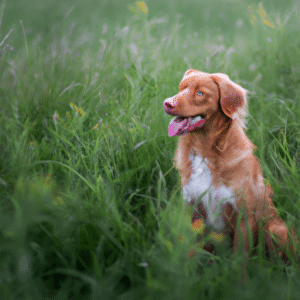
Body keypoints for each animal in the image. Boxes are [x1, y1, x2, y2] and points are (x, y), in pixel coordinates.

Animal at [164, 69, 298, 262]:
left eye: (200, 93)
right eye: (181, 88)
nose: (167, 104)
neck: (205, 153)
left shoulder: (243, 216)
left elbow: (239, 258)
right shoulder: (192, 209)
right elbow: (190, 250)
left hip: (275, 229)